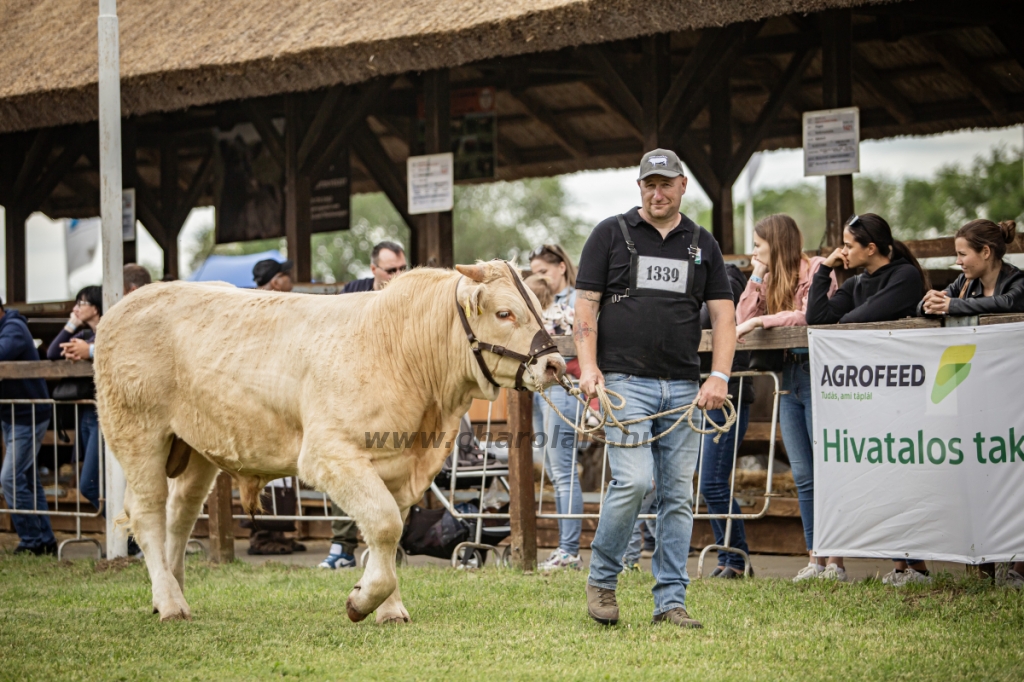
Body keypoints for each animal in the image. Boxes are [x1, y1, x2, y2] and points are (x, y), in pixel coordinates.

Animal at [93, 260, 565, 622]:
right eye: (505, 313)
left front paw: (388, 608)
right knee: (148, 514)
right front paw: (363, 602)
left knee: (180, 514)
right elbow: (385, 526)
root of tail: (122, 307)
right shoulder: (328, 455)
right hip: (139, 435)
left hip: (195, 448)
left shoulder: (400, 468)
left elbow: (387, 537)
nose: (557, 365)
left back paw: (170, 592)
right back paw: (170, 602)